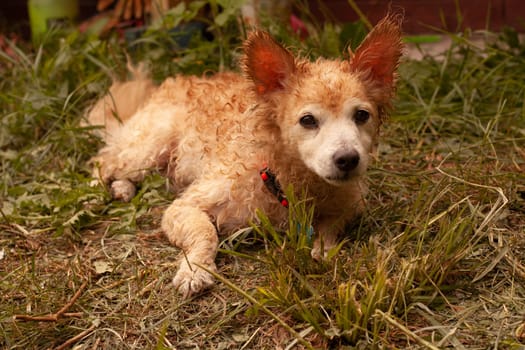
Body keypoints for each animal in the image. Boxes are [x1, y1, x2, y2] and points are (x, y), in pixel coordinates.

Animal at [88, 15, 404, 296]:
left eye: (361, 115)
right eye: (308, 120)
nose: (348, 159)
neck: (284, 178)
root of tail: (166, 85)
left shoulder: (352, 204)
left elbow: (330, 226)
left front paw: (324, 247)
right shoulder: (184, 207)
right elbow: (205, 233)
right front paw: (195, 269)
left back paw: (122, 189)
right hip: (148, 148)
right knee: (104, 161)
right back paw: (96, 193)